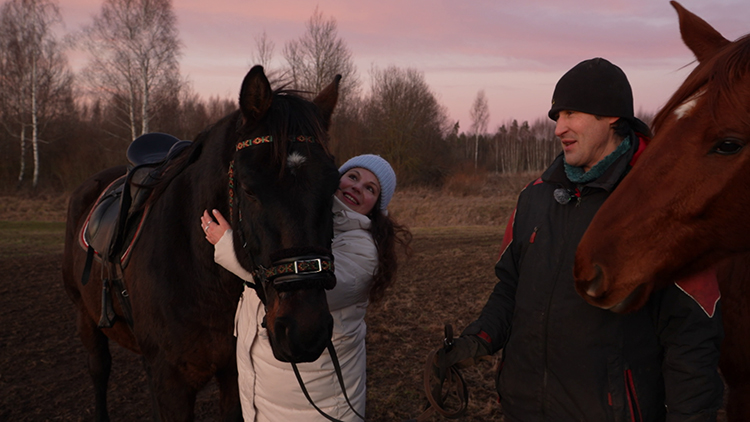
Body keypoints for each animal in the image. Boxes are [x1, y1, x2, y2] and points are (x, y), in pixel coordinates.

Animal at [62, 65, 344, 418]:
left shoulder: (232, 374)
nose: (305, 331)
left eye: (333, 185)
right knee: (99, 369)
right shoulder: (170, 383)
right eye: (249, 188)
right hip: (85, 316)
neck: (201, 276)